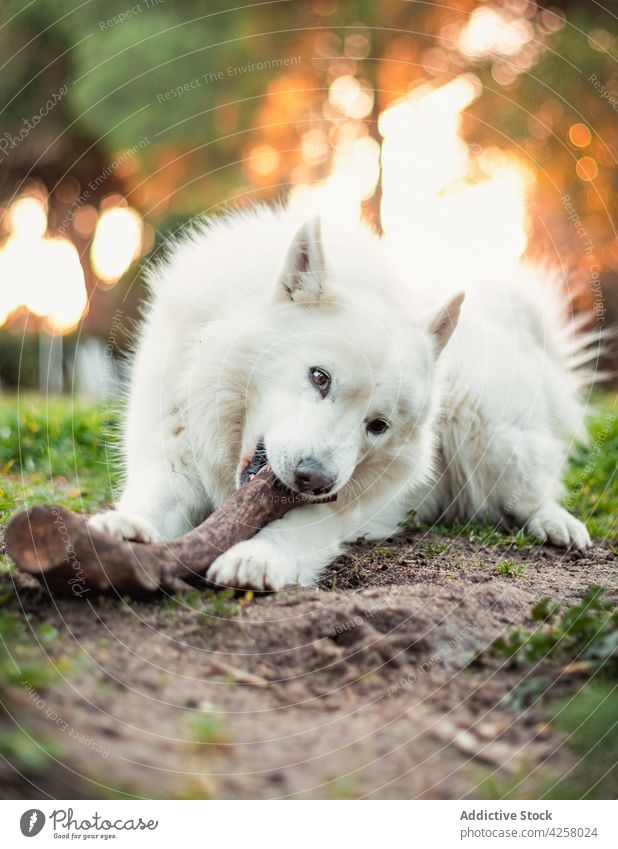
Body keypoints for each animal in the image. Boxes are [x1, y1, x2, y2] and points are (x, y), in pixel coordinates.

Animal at [90, 206, 592, 588]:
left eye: (378, 426)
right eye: (319, 377)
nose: (315, 480)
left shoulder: (328, 512)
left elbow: (289, 536)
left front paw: (255, 558)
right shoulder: (170, 463)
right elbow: (151, 503)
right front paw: (124, 530)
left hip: (491, 438)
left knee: (530, 493)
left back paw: (557, 525)